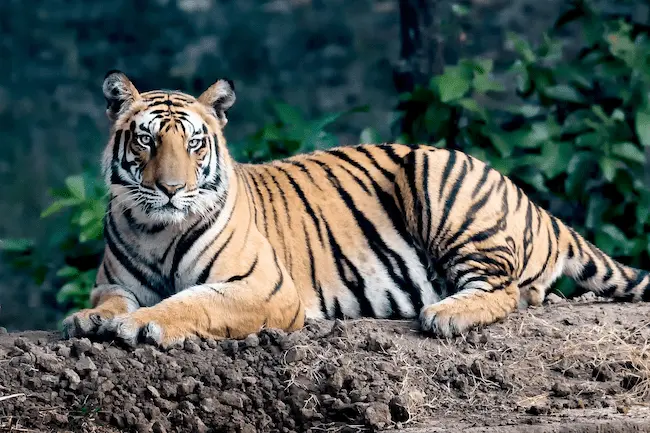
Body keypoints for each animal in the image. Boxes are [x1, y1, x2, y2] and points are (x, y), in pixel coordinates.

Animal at [62, 70, 650, 348]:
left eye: (194, 144)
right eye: (145, 140)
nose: (170, 189)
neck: (155, 228)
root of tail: (529, 199)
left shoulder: (263, 287)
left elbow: (190, 302)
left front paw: (143, 324)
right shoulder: (114, 281)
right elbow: (110, 301)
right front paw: (91, 320)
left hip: (439, 179)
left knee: (504, 291)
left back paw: (444, 314)